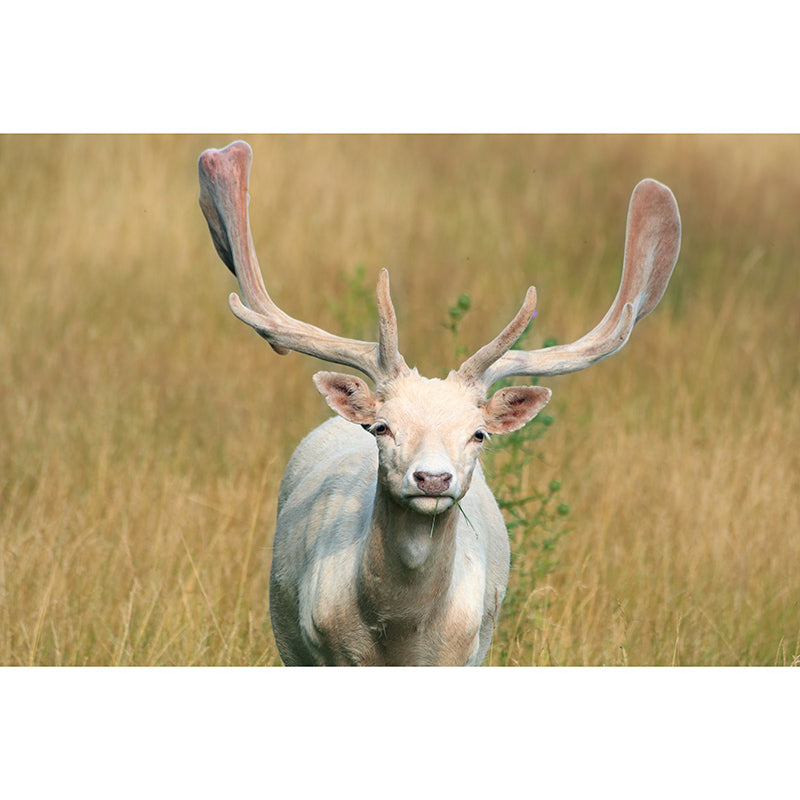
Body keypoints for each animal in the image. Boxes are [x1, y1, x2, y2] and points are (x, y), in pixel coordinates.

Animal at [197, 140, 681, 666]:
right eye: (382, 427)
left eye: (479, 433)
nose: (432, 478)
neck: (401, 634)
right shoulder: (321, 649)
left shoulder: (465, 652)